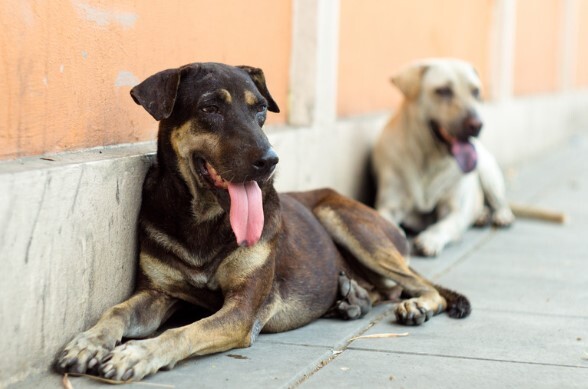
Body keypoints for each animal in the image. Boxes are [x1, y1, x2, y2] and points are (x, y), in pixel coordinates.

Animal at [55, 62, 468, 380]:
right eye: (210, 108)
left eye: (262, 111)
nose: (270, 161)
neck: (205, 220)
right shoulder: (158, 293)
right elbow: (117, 311)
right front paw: (87, 342)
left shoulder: (241, 310)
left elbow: (184, 332)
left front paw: (137, 354)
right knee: (387, 288)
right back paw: (353, 300)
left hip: (345, 222)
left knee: (420, 285)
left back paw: (415, 305)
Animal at [372, 58, 516, 258]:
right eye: (443, 90)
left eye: (476, 91)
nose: (477, 125)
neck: (429, 160)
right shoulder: (390, 205)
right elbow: (385, 222)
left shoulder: (453, 211)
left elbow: (442, 226)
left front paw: (429, 240)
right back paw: (481, 215)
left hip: (488, 173)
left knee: (498, 201)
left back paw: (501, 216)